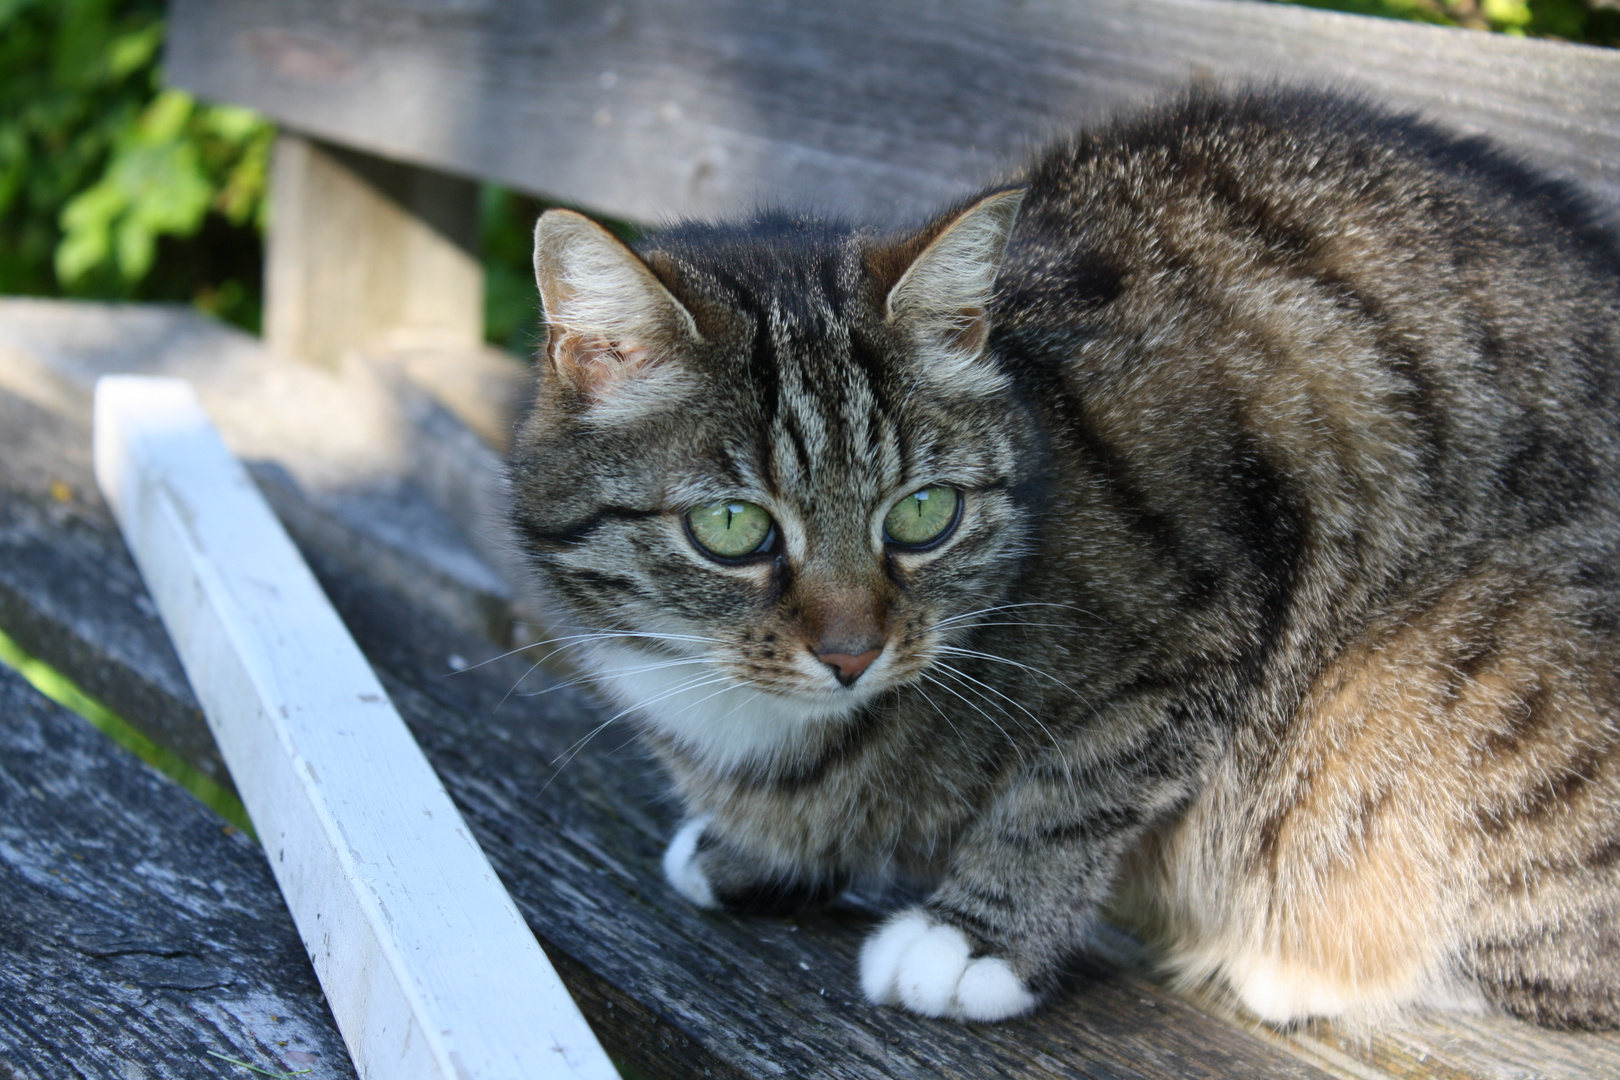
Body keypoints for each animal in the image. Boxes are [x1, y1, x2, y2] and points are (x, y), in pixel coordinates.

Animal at [508, 86, 1620, 1029]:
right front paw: (757, 855)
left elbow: (1071, 787)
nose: (852, 654)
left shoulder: (1207, 609)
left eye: (924, 514)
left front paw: (973, 941)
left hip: (1450, 683)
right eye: (735, 528)